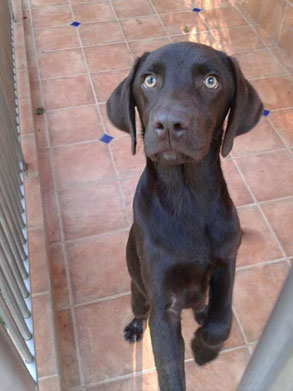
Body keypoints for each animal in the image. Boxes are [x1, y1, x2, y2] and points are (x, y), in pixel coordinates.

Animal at [105, 41, 262, 390]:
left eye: (211, 82)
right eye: (149, 80)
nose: (168, 124)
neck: (186, 195)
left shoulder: (226, 263)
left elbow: (222, 320)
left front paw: (204, 348)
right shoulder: (163, 304)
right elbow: (168, 368)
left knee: (205, 303)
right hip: (138, 292)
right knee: (139, 310)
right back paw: (135, 327)